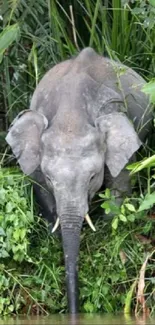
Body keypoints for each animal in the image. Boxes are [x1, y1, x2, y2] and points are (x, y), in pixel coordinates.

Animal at [5, 47, 151, 312]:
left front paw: (105, 232)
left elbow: (121, 183)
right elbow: (39, 188)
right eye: (50, 177)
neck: (71, 116)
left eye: (93, 177)